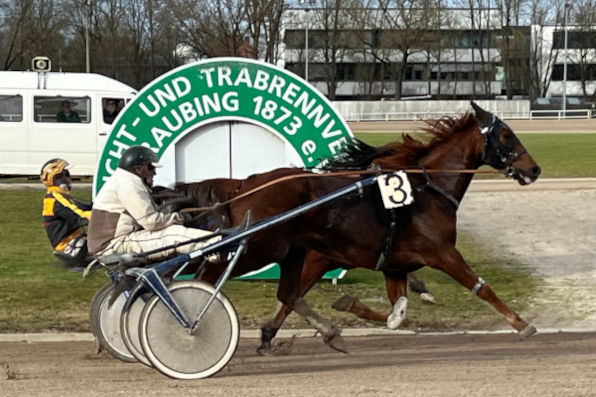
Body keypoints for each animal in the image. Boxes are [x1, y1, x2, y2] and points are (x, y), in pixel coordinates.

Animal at [165, 102, 544, 352]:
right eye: (506, 135)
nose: (535, 169)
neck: (427, 189)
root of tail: (246, 184)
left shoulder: (394, 264)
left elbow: (396, 311)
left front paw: (346, 308)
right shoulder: (442, 252)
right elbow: (481, 287)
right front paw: (522, 324)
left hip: (293, 251)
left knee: (287, 294)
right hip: (260, 247)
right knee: (208, 277)